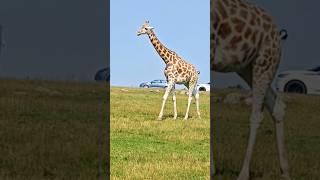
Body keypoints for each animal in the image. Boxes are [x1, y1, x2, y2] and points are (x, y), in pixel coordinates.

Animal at [211, 0, 292, 180]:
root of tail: (278, 34)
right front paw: (211, 169)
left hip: (265, 60)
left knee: (256, 115)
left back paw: (243, 173)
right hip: (246, 67)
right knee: (277, 106)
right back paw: (285, 171)